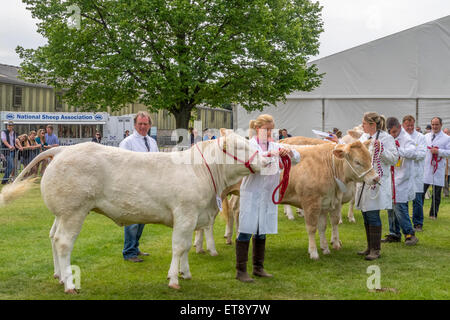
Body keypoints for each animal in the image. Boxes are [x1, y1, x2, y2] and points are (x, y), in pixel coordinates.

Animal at [0, 130, 268, 292]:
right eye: (239, 146)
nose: (266, 159)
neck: (202, 171)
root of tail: (63, 150)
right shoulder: (185, 213)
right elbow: (179, 247)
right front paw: (174, 279)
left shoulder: (194, 218)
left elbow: (185, 248)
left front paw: (185, 273)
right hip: (74, 211)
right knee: (64, 242)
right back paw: (69, 284)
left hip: (61, 212)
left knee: (53, 238)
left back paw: (58, 275)